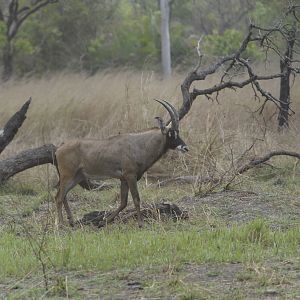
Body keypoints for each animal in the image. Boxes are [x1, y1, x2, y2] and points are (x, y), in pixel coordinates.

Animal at [55, 99, 189, 226]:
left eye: (178, 132)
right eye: (171, 133)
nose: (185, 148)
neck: (138, 145)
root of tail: (59, 149)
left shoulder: (123, 179)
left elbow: (123, 202)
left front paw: (103, 222)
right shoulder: (130, 176)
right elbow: (136, 199)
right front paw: (141, 224)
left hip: (77, 177)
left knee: (63, 195)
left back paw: (71, 222)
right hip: (68, 176)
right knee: (59, 197)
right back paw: (61, 225)